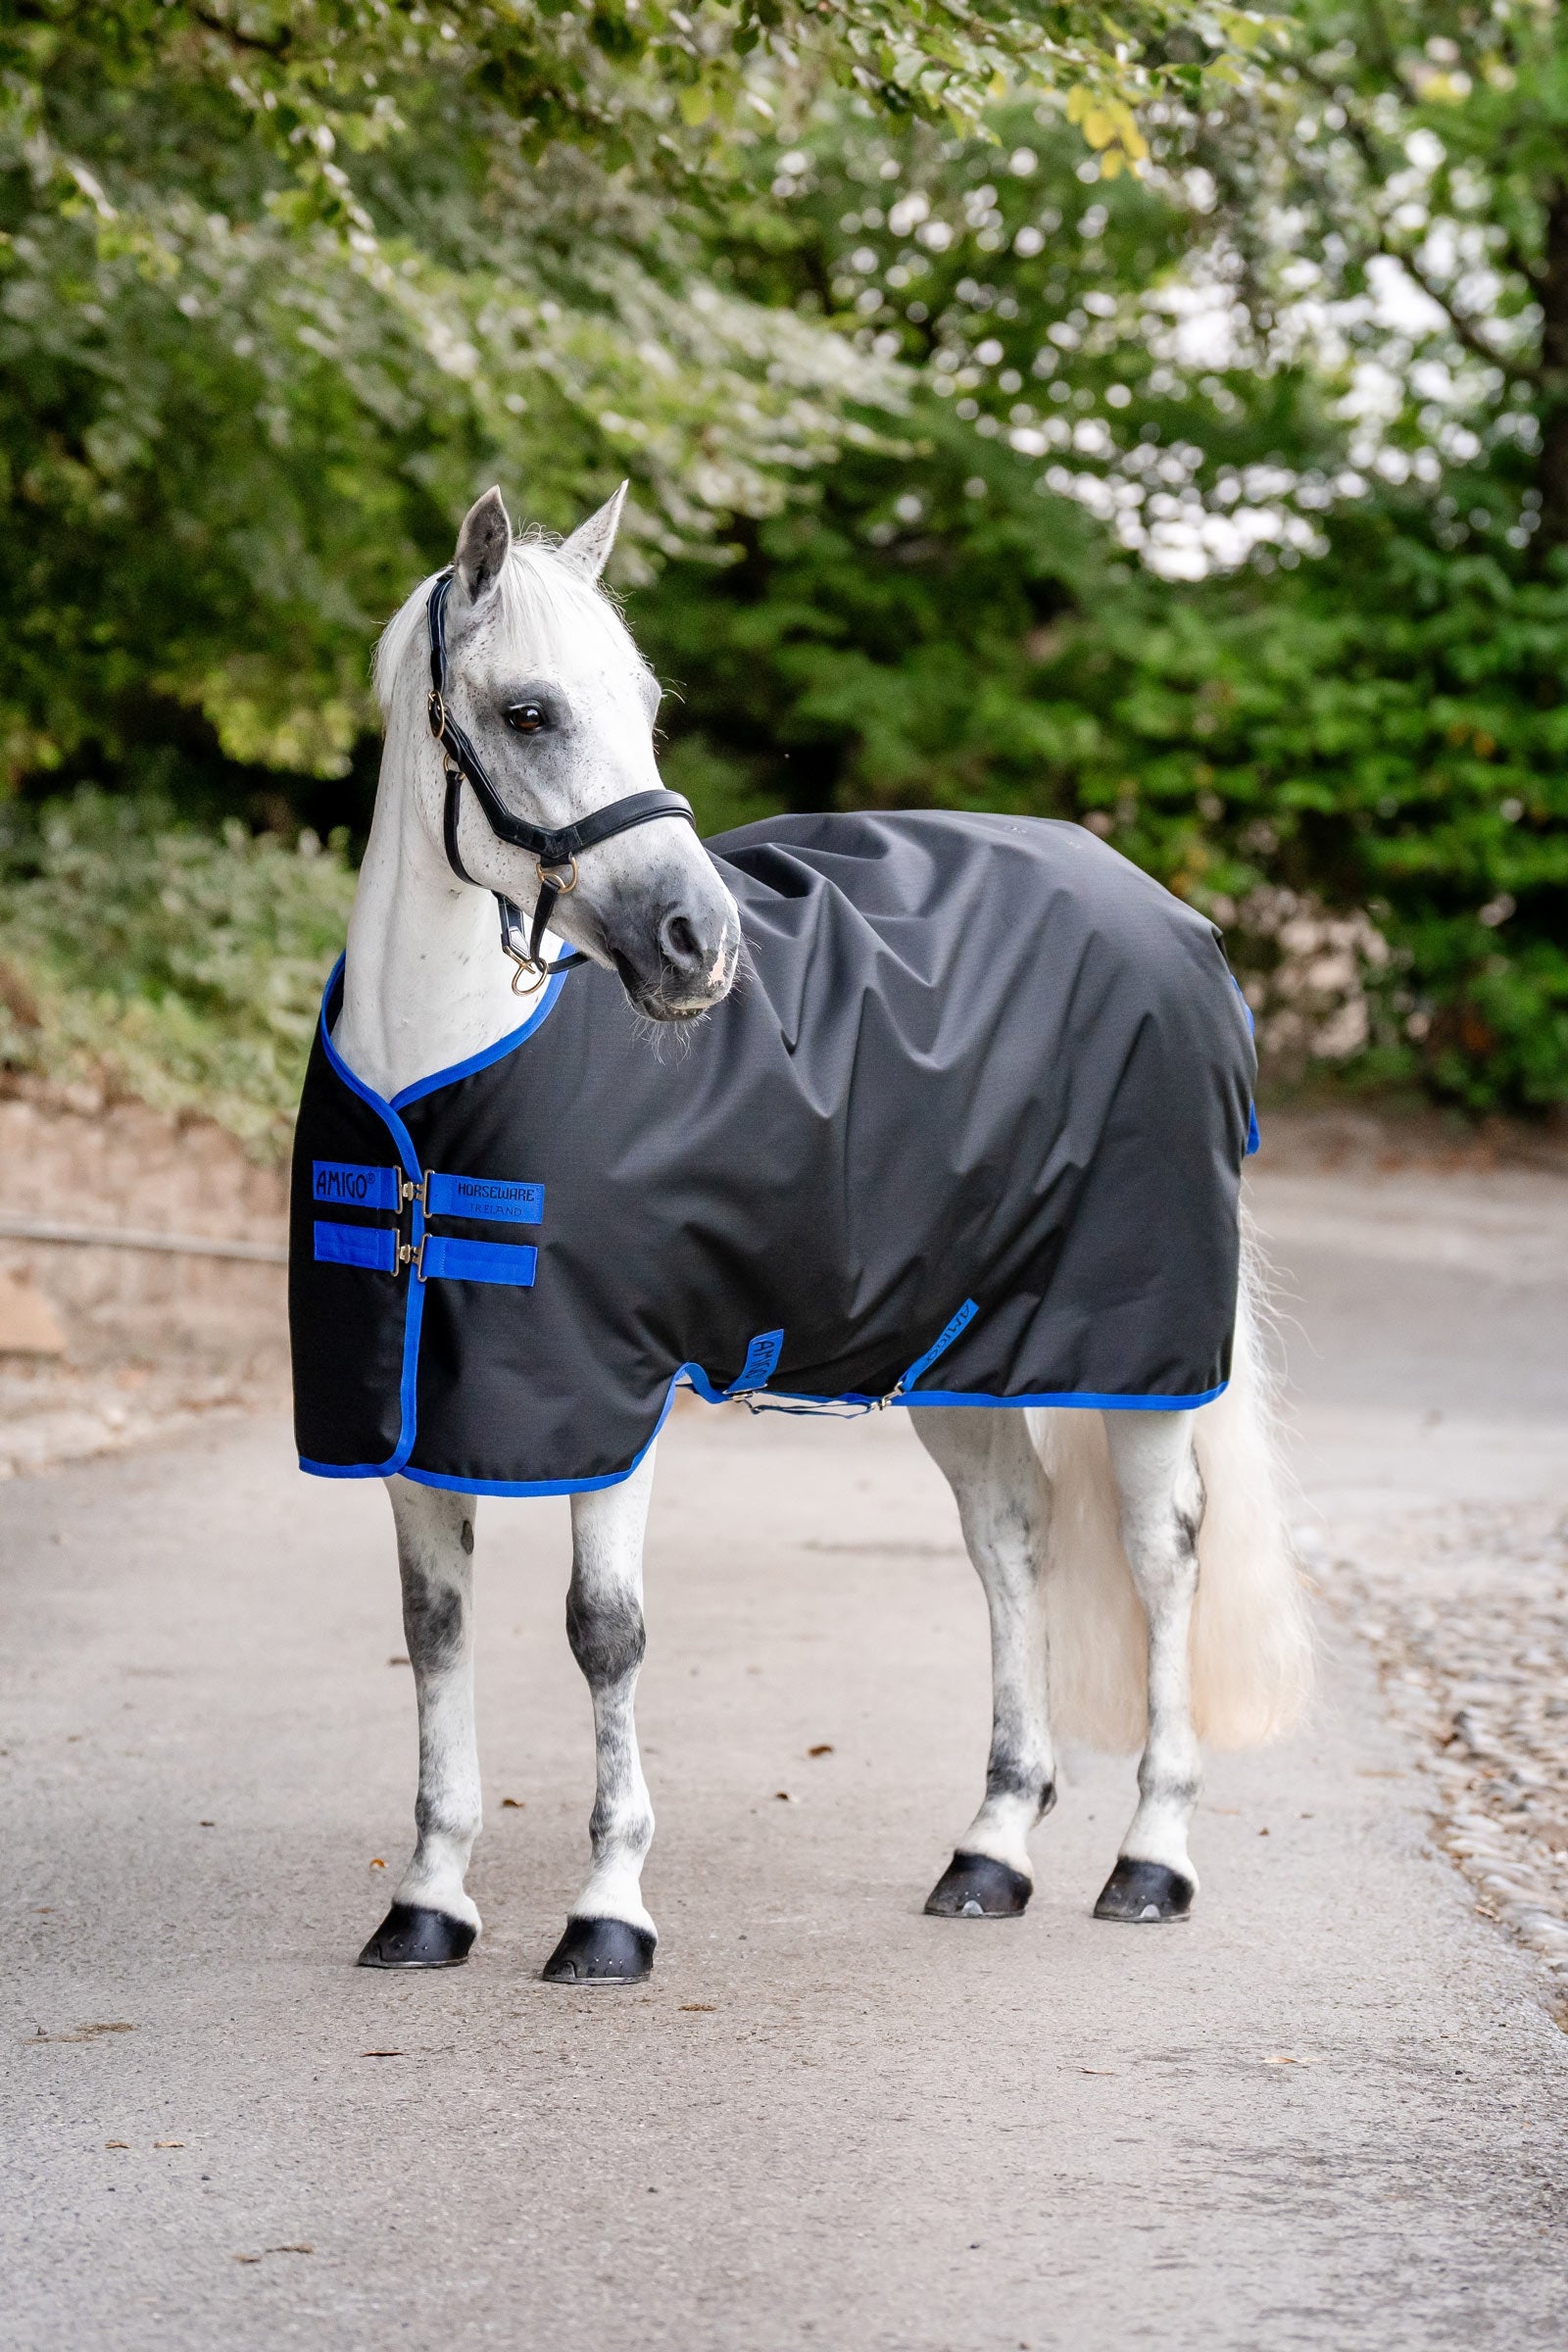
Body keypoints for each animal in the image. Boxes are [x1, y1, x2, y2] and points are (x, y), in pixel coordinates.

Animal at [293, 483, 1313, 1984]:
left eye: (646, 703)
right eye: (530, 711)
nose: (698, 944)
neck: (437, 1093)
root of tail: (1175, 921)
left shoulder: (615, 1397)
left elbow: (604, 1634)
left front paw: (608, 1912)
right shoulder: (416, 1413)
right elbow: (435, 1634)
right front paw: (427, 1901)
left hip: (1139, 1351)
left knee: (1160, 1550)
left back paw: (1151, 1858)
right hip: (961, 1353)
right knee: (1010, 1538)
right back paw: (991, 1851)